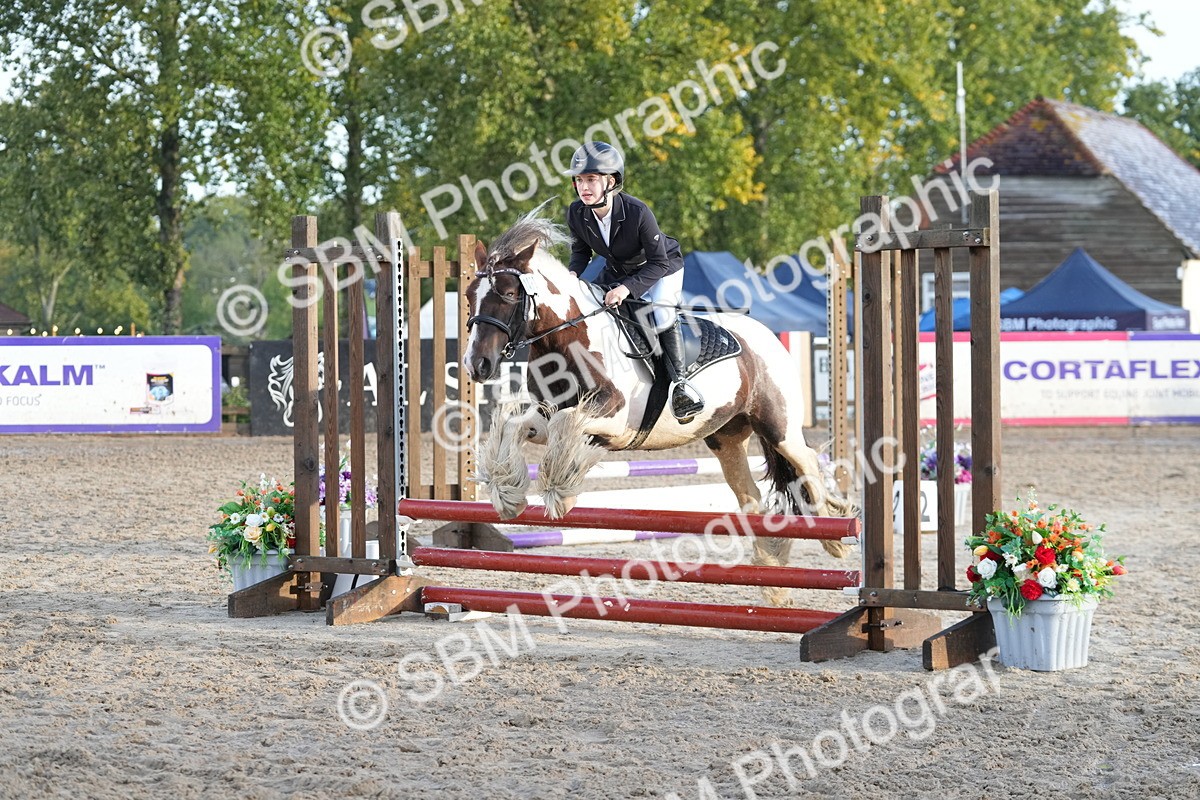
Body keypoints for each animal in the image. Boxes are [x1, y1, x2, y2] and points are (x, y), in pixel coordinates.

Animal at [461, 210, 854, 606]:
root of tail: (767, 336)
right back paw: (773, 580)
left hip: (778, 427)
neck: (569, 339)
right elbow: (518, 426)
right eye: (468, 296)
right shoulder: (549, 414)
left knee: (807, 465)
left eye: (510, 294)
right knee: (751, 498)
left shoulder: (614, 417)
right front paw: (507, 493)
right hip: (725, 439)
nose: (476, 365)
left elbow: (564, 426)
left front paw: (560, 492)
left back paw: (835, 536)